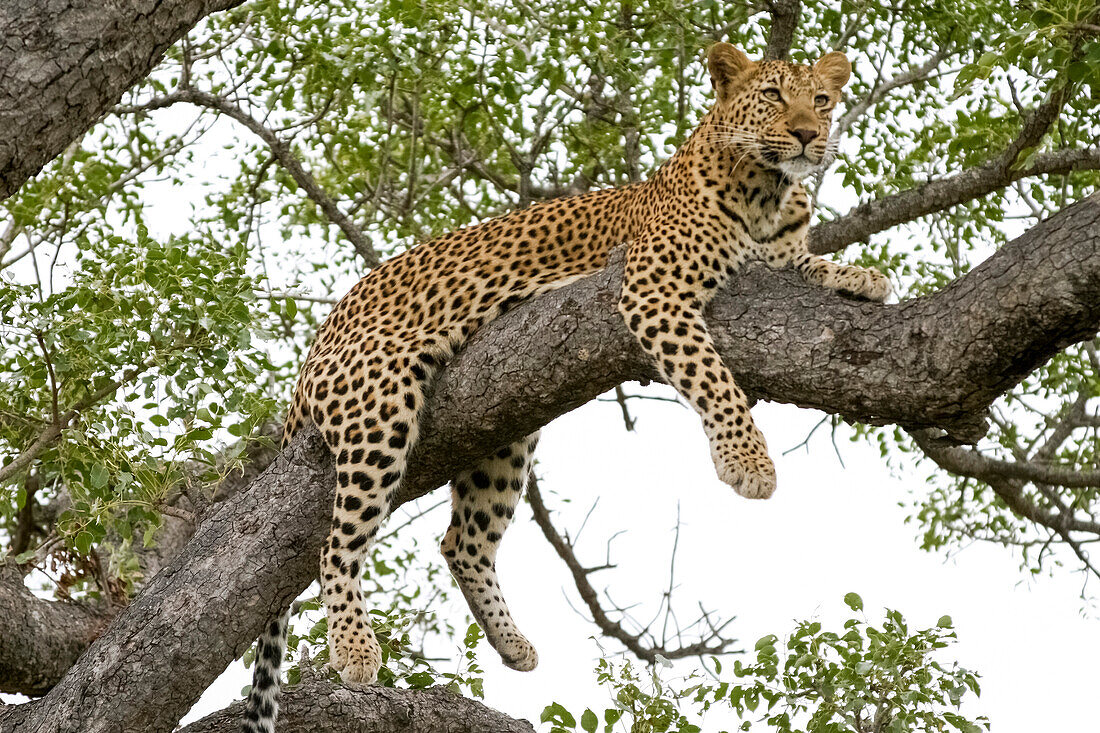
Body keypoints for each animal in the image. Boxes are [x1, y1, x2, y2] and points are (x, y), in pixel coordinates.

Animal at [243, 42, 893, 726]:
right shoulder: (654, 290)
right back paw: (355, 649)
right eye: (772, 95)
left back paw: (513, 643)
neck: (769, 191)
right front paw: (748, 462)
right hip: (379, 407)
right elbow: (714, 377)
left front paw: (860, 276)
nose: (808, 134)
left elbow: (806, 265)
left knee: (460, 542)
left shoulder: (776, 261)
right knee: (334, 549)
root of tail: (312, 351)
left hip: (503, 430)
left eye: (821, 100)